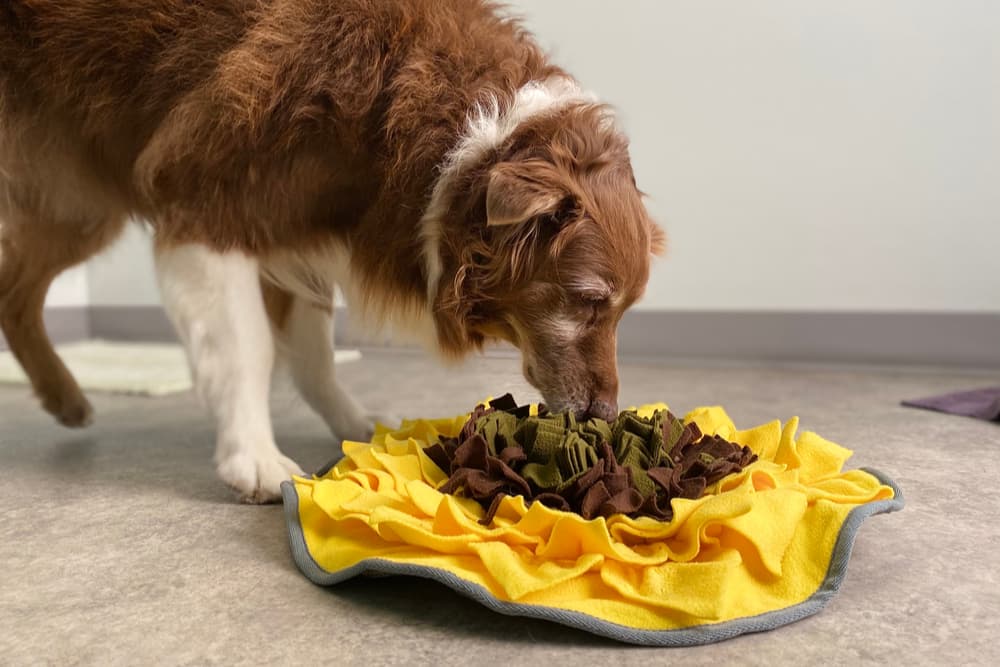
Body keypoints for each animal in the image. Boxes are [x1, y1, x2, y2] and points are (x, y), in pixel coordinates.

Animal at [0, 0, 664, 500]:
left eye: (624, 310)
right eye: (588, 300)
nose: (607, 415)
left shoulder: (299, 239)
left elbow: (315, 356)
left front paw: (353, 427)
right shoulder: (208, 208)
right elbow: (247, 349)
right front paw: (254, 458)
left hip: (78, 208)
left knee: (15, 292)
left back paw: (63, 398)